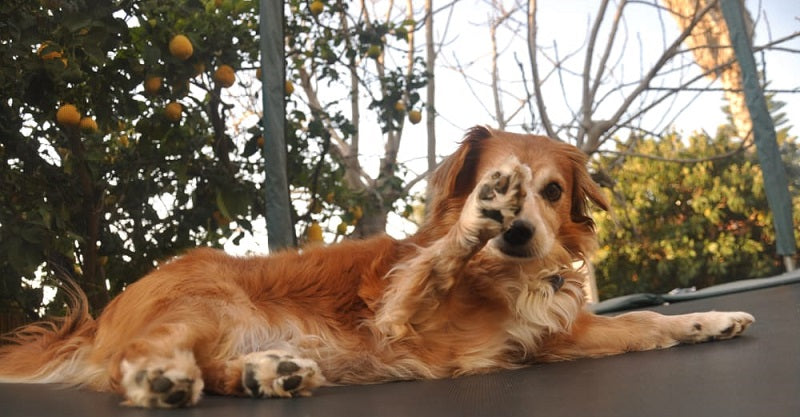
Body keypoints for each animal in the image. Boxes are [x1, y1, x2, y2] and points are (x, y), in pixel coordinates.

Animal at [0, 127, 752, 406]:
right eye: (506, 185)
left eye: (553, 191)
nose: (515, 231)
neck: (504, 278)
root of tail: (98, 317)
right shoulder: (401, 321)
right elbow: (432, 264)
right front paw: (474, 222)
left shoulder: (553, 341)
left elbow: (652, 323)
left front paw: (713, 320)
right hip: (205, 301)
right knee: (139, 360)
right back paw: (161, 378)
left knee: (213, 369)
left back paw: (268, 373)